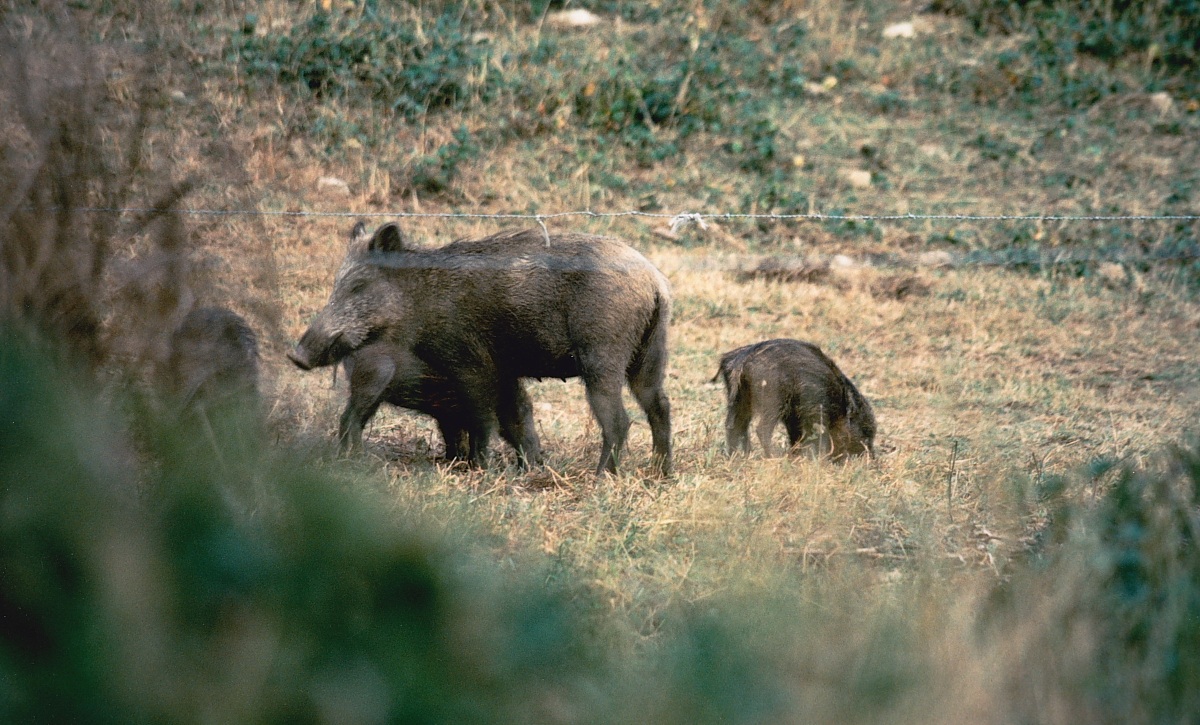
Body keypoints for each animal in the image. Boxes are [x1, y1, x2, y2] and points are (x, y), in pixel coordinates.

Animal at [289, 222, 673, 476]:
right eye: (336, 284)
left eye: (358, 285)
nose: (296, 355)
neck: (422, 297)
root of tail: (655, 281)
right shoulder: (505, 373)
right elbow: (514, 418)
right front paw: (526, 471)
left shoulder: (471, 363)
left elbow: (481, 419)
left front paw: (479, 469)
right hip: (650, 356)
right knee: (660, 407)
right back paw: (660, 473)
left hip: (602, 355)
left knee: (620, 420)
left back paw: (600, 477)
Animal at [713, 338, 875, 460]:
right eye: (865, 431)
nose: (872, 460)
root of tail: (742, 361)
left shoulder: (793, 416)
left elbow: (796, 435)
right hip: (772, 402)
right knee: (761, 429)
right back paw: (772, 457)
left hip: (739, 400)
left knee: (733, 425)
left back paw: (735, 457)